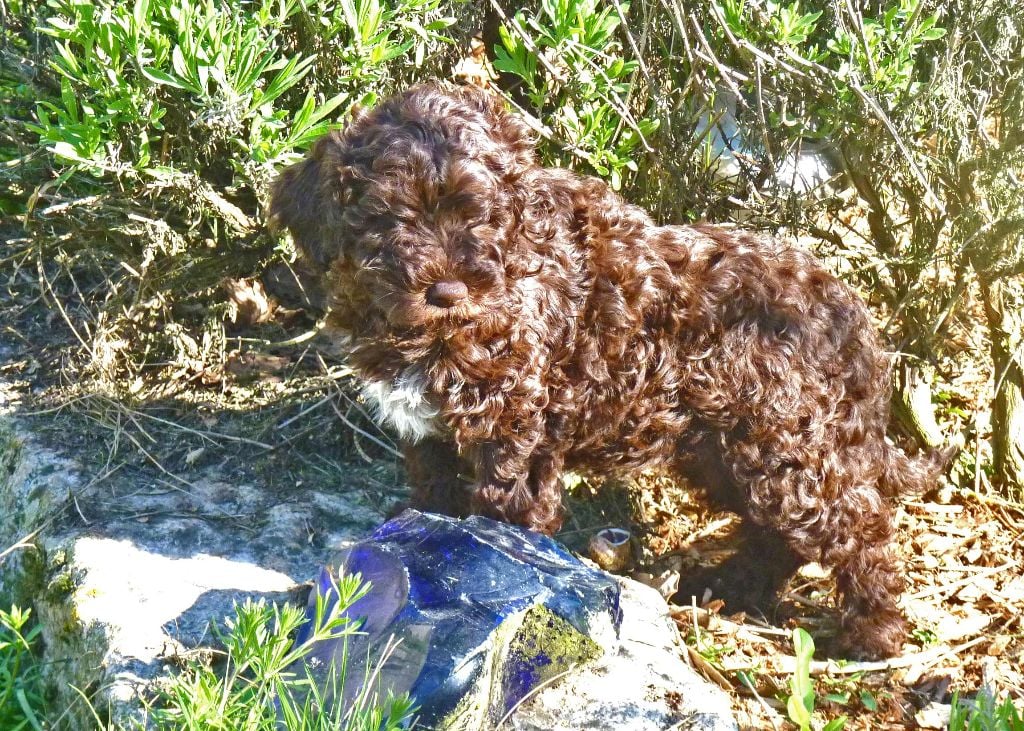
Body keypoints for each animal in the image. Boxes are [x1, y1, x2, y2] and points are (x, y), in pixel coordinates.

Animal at [269, 82, 946, 659]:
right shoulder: (430, 431)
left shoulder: (515, 423)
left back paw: (876, 633)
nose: (448, 292)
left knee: (856, 525)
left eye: (480, 216)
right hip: (726, 448)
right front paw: (428, 541)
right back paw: (733, 584)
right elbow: (435, 491)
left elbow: (504, 512)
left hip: (784, 439)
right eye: (386, 218)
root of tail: (858, 330)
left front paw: (497, 571)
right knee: (777, 532)